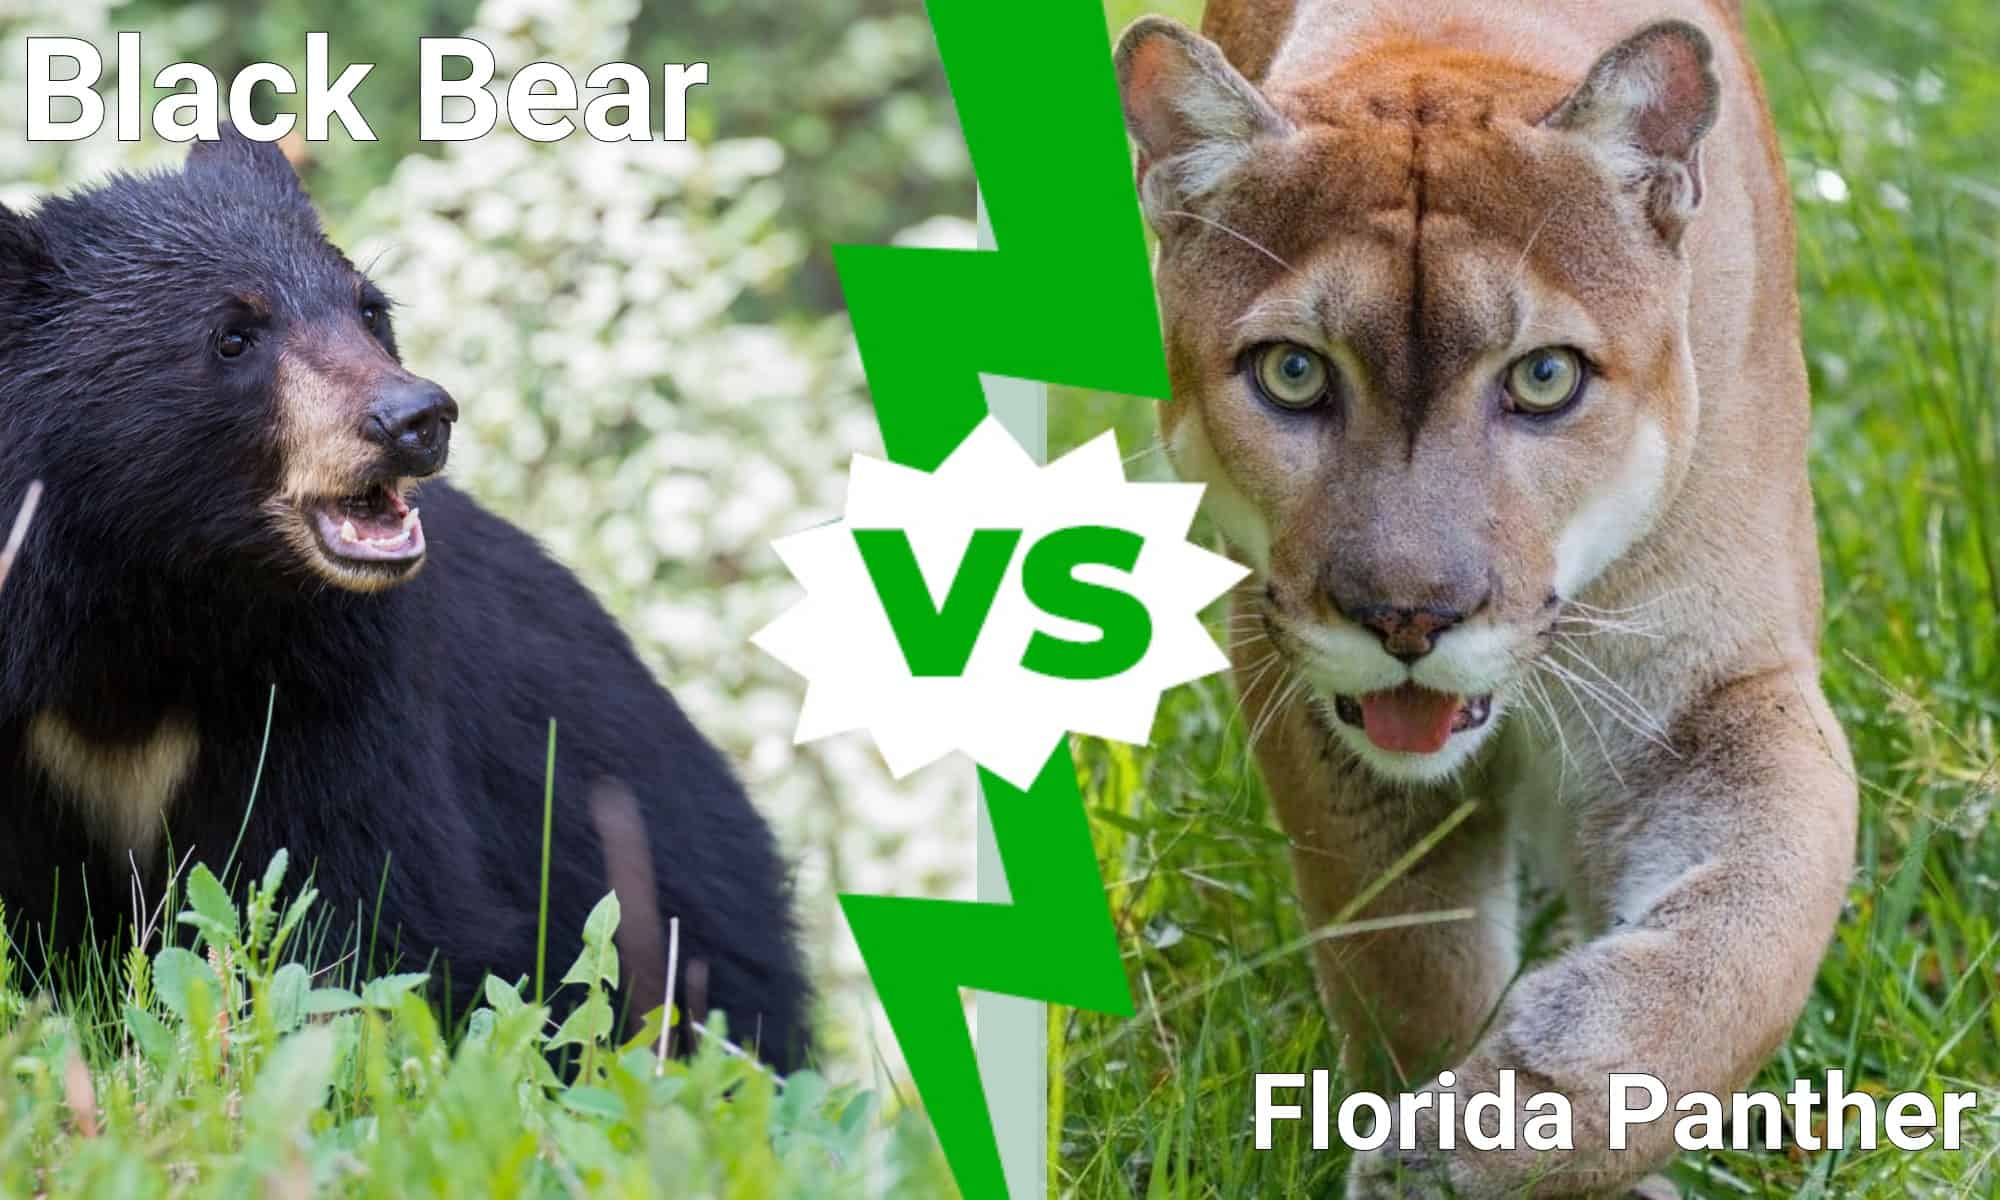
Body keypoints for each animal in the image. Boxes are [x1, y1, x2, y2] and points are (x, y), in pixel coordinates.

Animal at [0, 128, 808, 1069]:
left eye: (370, 311)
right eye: (233, 336)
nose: (416, 418)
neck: (150, 594)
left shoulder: (330, 685)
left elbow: (361, 900)